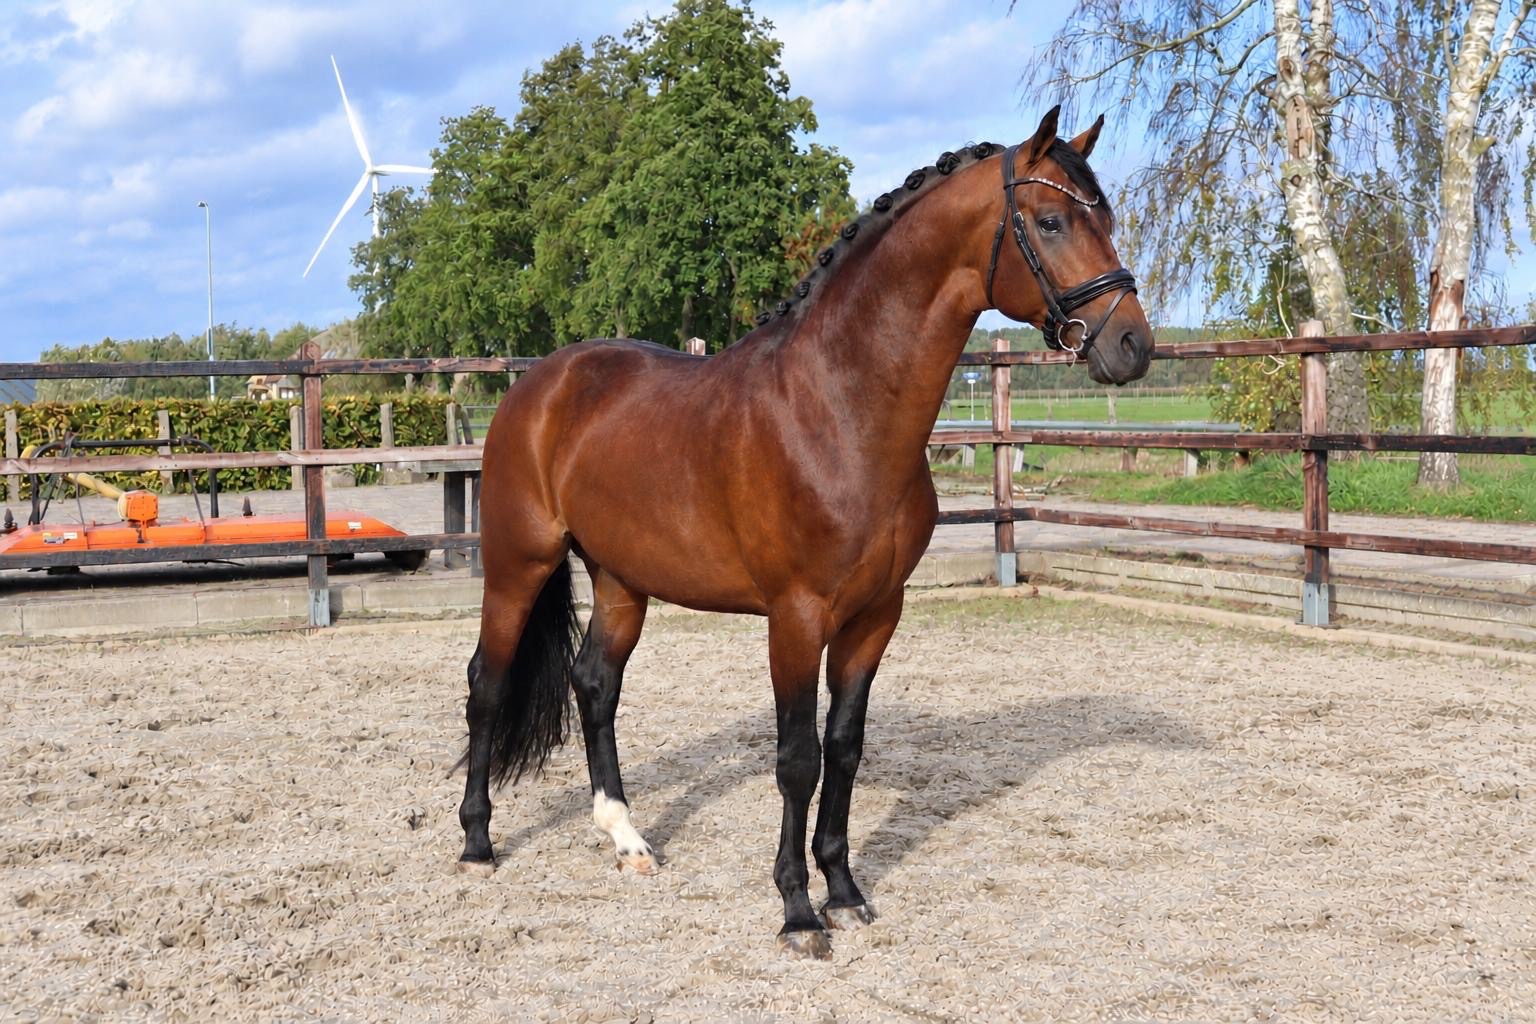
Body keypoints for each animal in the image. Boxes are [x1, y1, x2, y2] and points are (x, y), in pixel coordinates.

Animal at [456, 107, 1154, 960]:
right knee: (486, 686)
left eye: (1105, 219)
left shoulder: (875, 616)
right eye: (1052, 221)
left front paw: (845, 891)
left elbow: (844, 748)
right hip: (517, 565)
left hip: (623, 581)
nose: (1133, 345)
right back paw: (477, 843)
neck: (837, 407)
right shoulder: (795, 617)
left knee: (595, 685)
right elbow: (797, 759)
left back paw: (627, 839)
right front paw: (796, 910)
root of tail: (539, 384)